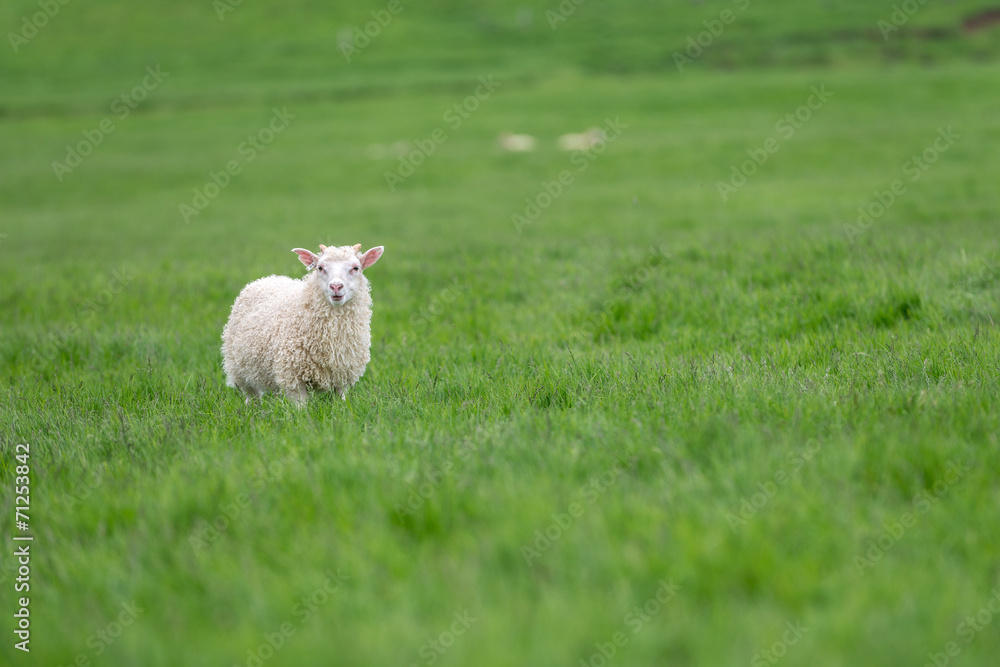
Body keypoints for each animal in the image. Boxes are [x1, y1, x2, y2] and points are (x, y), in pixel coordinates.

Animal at [221, 243, 384, 405]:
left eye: (356, 268)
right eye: (320, 268)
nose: (336, 287)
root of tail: (265, 279)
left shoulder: (341, 374)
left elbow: (341, 401)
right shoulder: (293, 377)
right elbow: (301, 408)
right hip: (239, 369)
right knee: (251, 395)